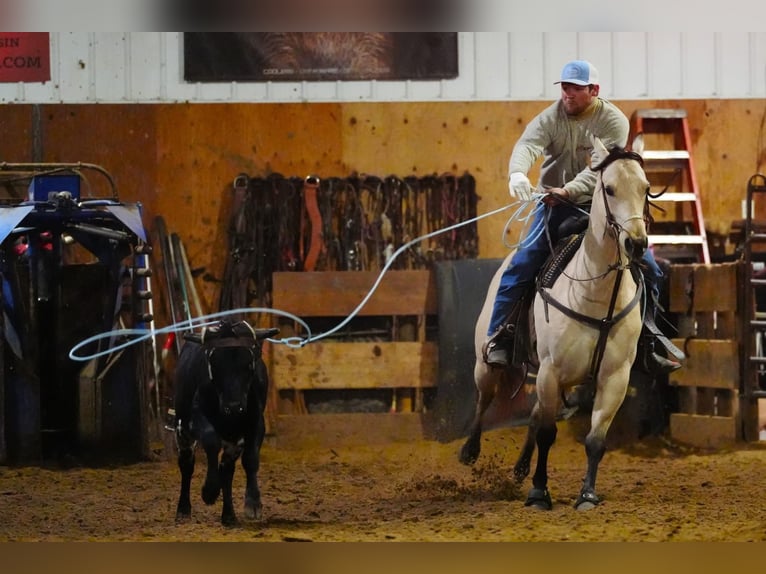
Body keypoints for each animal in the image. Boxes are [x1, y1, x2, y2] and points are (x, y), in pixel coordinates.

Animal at [459, 134, 650, 510]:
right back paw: (470, 450)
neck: (597, 297)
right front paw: (539, 493)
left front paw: (587, 495)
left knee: (534, 415)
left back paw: (520, 468)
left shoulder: (614, 378)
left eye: (646, 188)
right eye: (609, 188)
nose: (636, 243)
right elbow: (548, 434)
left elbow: (595, 440)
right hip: (487, 363)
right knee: (484, 398)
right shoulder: (550, 369)